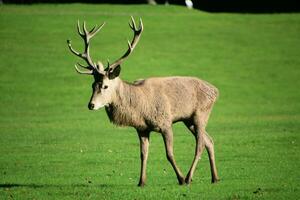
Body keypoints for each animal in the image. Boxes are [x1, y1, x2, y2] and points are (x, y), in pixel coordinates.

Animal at [67, 16, 219, 186]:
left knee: (200, 145)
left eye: (105, 86)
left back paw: (188, 178)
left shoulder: (165, 122)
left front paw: (179, 178)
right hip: (189, 120)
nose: (91, 105)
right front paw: (141, 181)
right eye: (93, 85)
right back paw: (215, 177)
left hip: (201, 114)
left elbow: (169, 154)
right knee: (209, 141)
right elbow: (143, 155)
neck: (141, 108)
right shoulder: (142, 129)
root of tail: (216, 91)